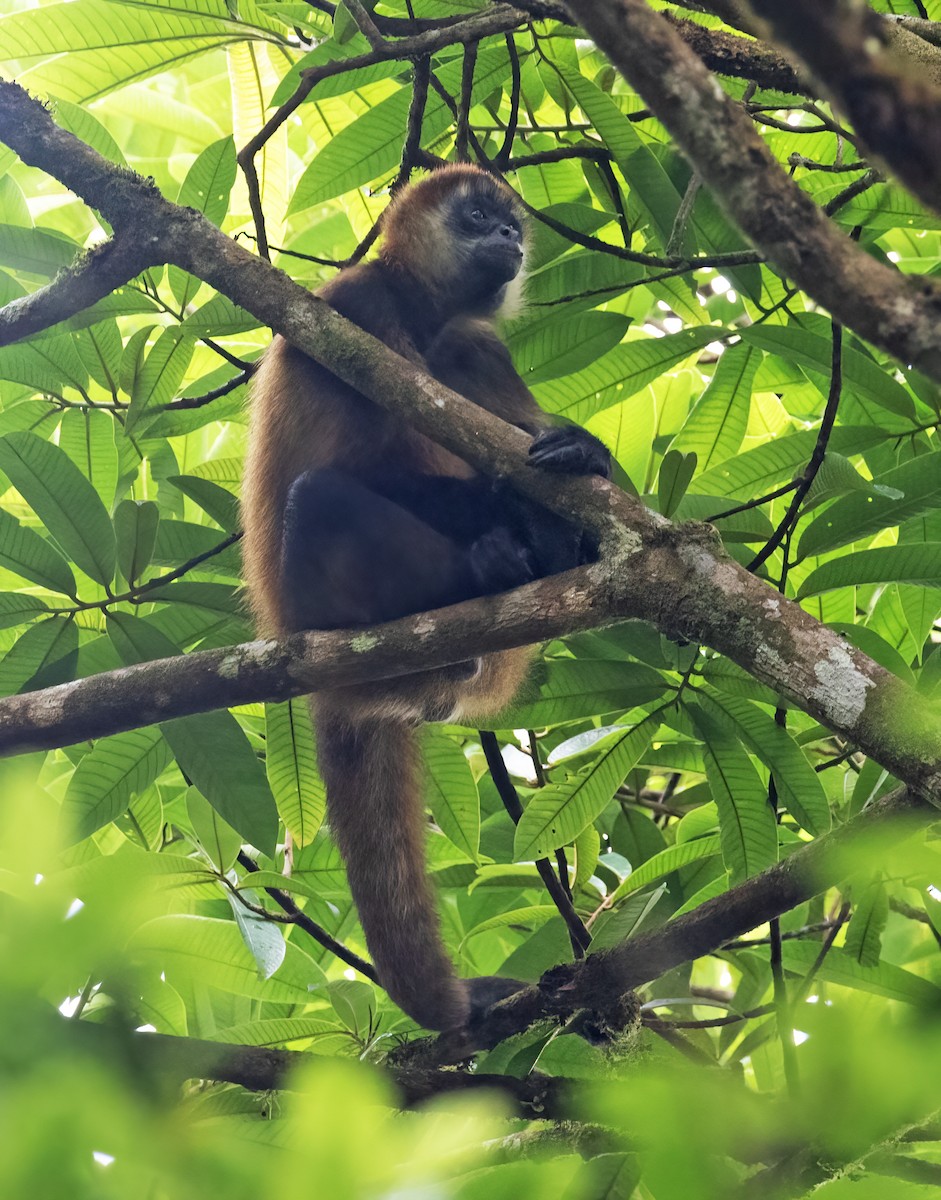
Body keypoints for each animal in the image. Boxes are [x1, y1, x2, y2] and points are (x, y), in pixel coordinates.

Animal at [241, 163, 610, 1033]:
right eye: (476, 217)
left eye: (511, 223)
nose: (507, 237)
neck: (425, 312)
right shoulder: (358, 305)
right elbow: (368, 460)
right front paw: (532, 517)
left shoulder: (477, 340)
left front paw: (584, 468)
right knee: (322, 495)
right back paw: (494, 562)